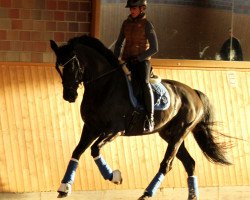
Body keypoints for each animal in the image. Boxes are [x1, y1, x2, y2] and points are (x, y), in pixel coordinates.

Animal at [49, 35, 231, 199]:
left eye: (73, 66)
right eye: (58, 68)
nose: (69, 96)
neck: (105, 86)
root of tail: (194, 93)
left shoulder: (114, 130)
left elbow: (94, 149)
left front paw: (114, 176)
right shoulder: (91, 128)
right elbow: (77, 151)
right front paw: (64, 187)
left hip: (179, 134)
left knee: (166, 164)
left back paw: (147, 193)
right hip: (169, 134)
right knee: (189, 163)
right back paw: (191, 196)